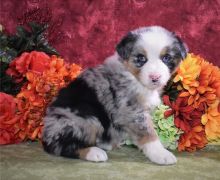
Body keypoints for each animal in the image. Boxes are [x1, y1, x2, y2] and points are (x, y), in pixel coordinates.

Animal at [42, 25, 186, 165]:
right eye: (141, 58)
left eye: (166, 58)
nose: (155, 77)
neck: (135, 78)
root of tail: (46, 134)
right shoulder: (132, 111)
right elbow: (148, 133)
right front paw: (161, 154)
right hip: (86, 118)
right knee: (60, 146)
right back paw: (94, 152)